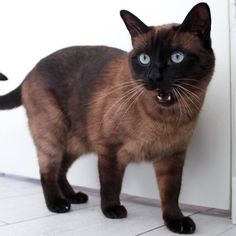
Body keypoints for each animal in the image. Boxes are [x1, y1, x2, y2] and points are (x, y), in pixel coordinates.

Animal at [0, 2, 214, 235]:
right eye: (144, 59)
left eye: (176, 57)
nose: (154, 77)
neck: (164, 118)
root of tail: (30, 72)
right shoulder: (109, 149)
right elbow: (111, 185)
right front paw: (111, 211)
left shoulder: (172, 157)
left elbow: (171, 195)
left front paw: (176, 222)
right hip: (53, 133)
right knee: (47, 171)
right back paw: (57, 204)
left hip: (75, 143)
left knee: (60, 171)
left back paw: (73, 197)